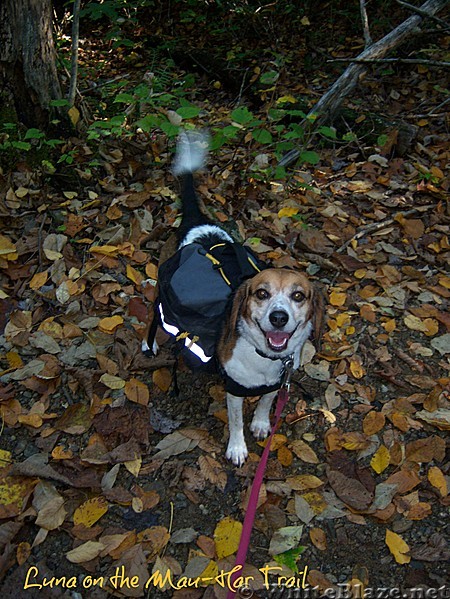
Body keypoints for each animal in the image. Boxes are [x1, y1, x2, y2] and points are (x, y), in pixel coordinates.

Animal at [149, 132, 326, 468]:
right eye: (261, 293)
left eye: (298, 296)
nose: (279, 318)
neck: (265, 358)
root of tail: (198, 222)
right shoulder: (233, 389)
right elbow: (234, 421)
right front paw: (237, 448)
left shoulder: (276, 384)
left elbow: (265, 404)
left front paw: (260, 424)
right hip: (160, 295)